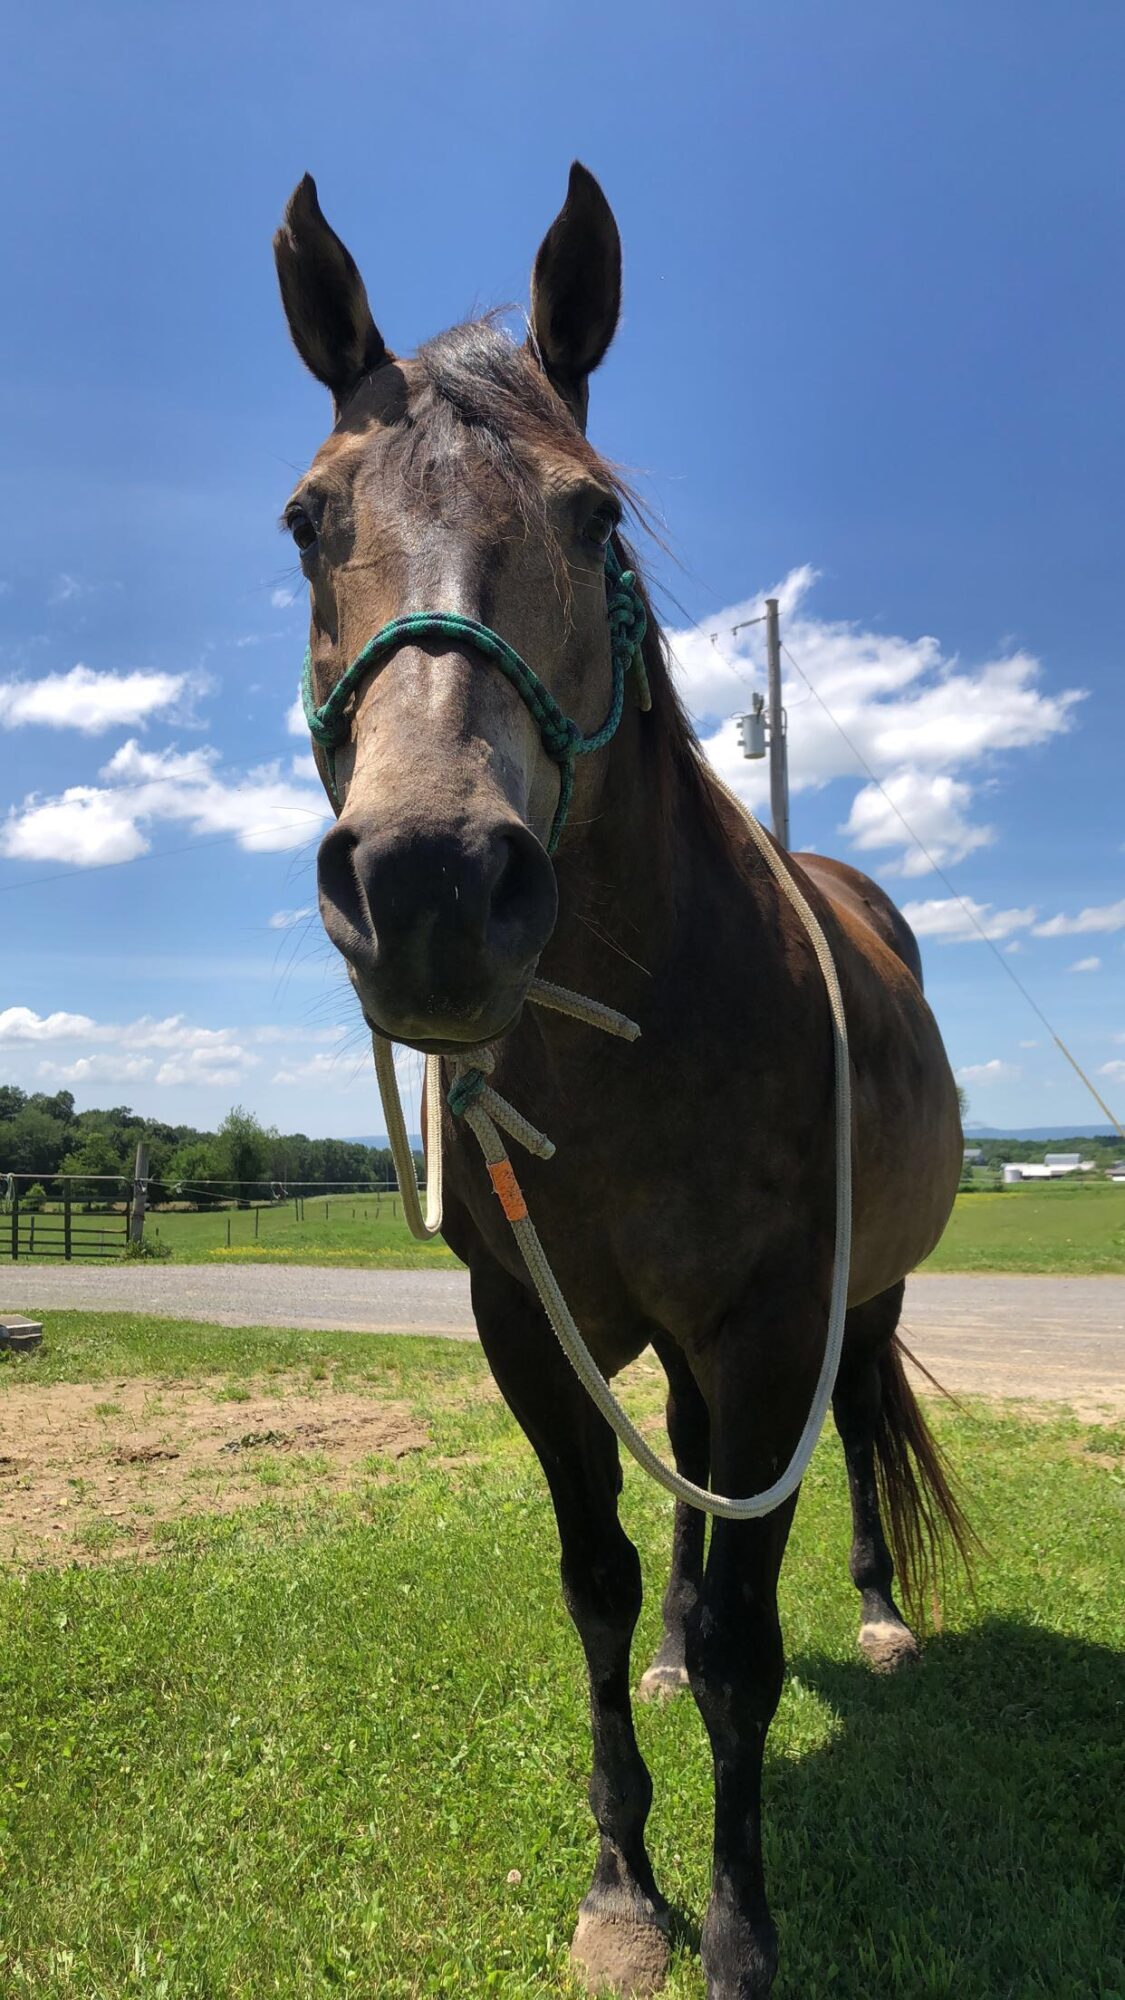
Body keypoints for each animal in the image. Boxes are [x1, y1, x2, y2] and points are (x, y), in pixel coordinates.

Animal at [272, 161, 970, 1999]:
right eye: (308, 520)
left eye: (590, 520)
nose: (431, 883)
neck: (633, 1039)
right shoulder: (533, 1323)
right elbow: (596, 1581)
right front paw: (621, 1887)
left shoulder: (777, 1319)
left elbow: (750, 1638)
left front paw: (734, 1919)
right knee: (684, 1504)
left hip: (852, 1309)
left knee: (844, 1450)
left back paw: (880, 1608)